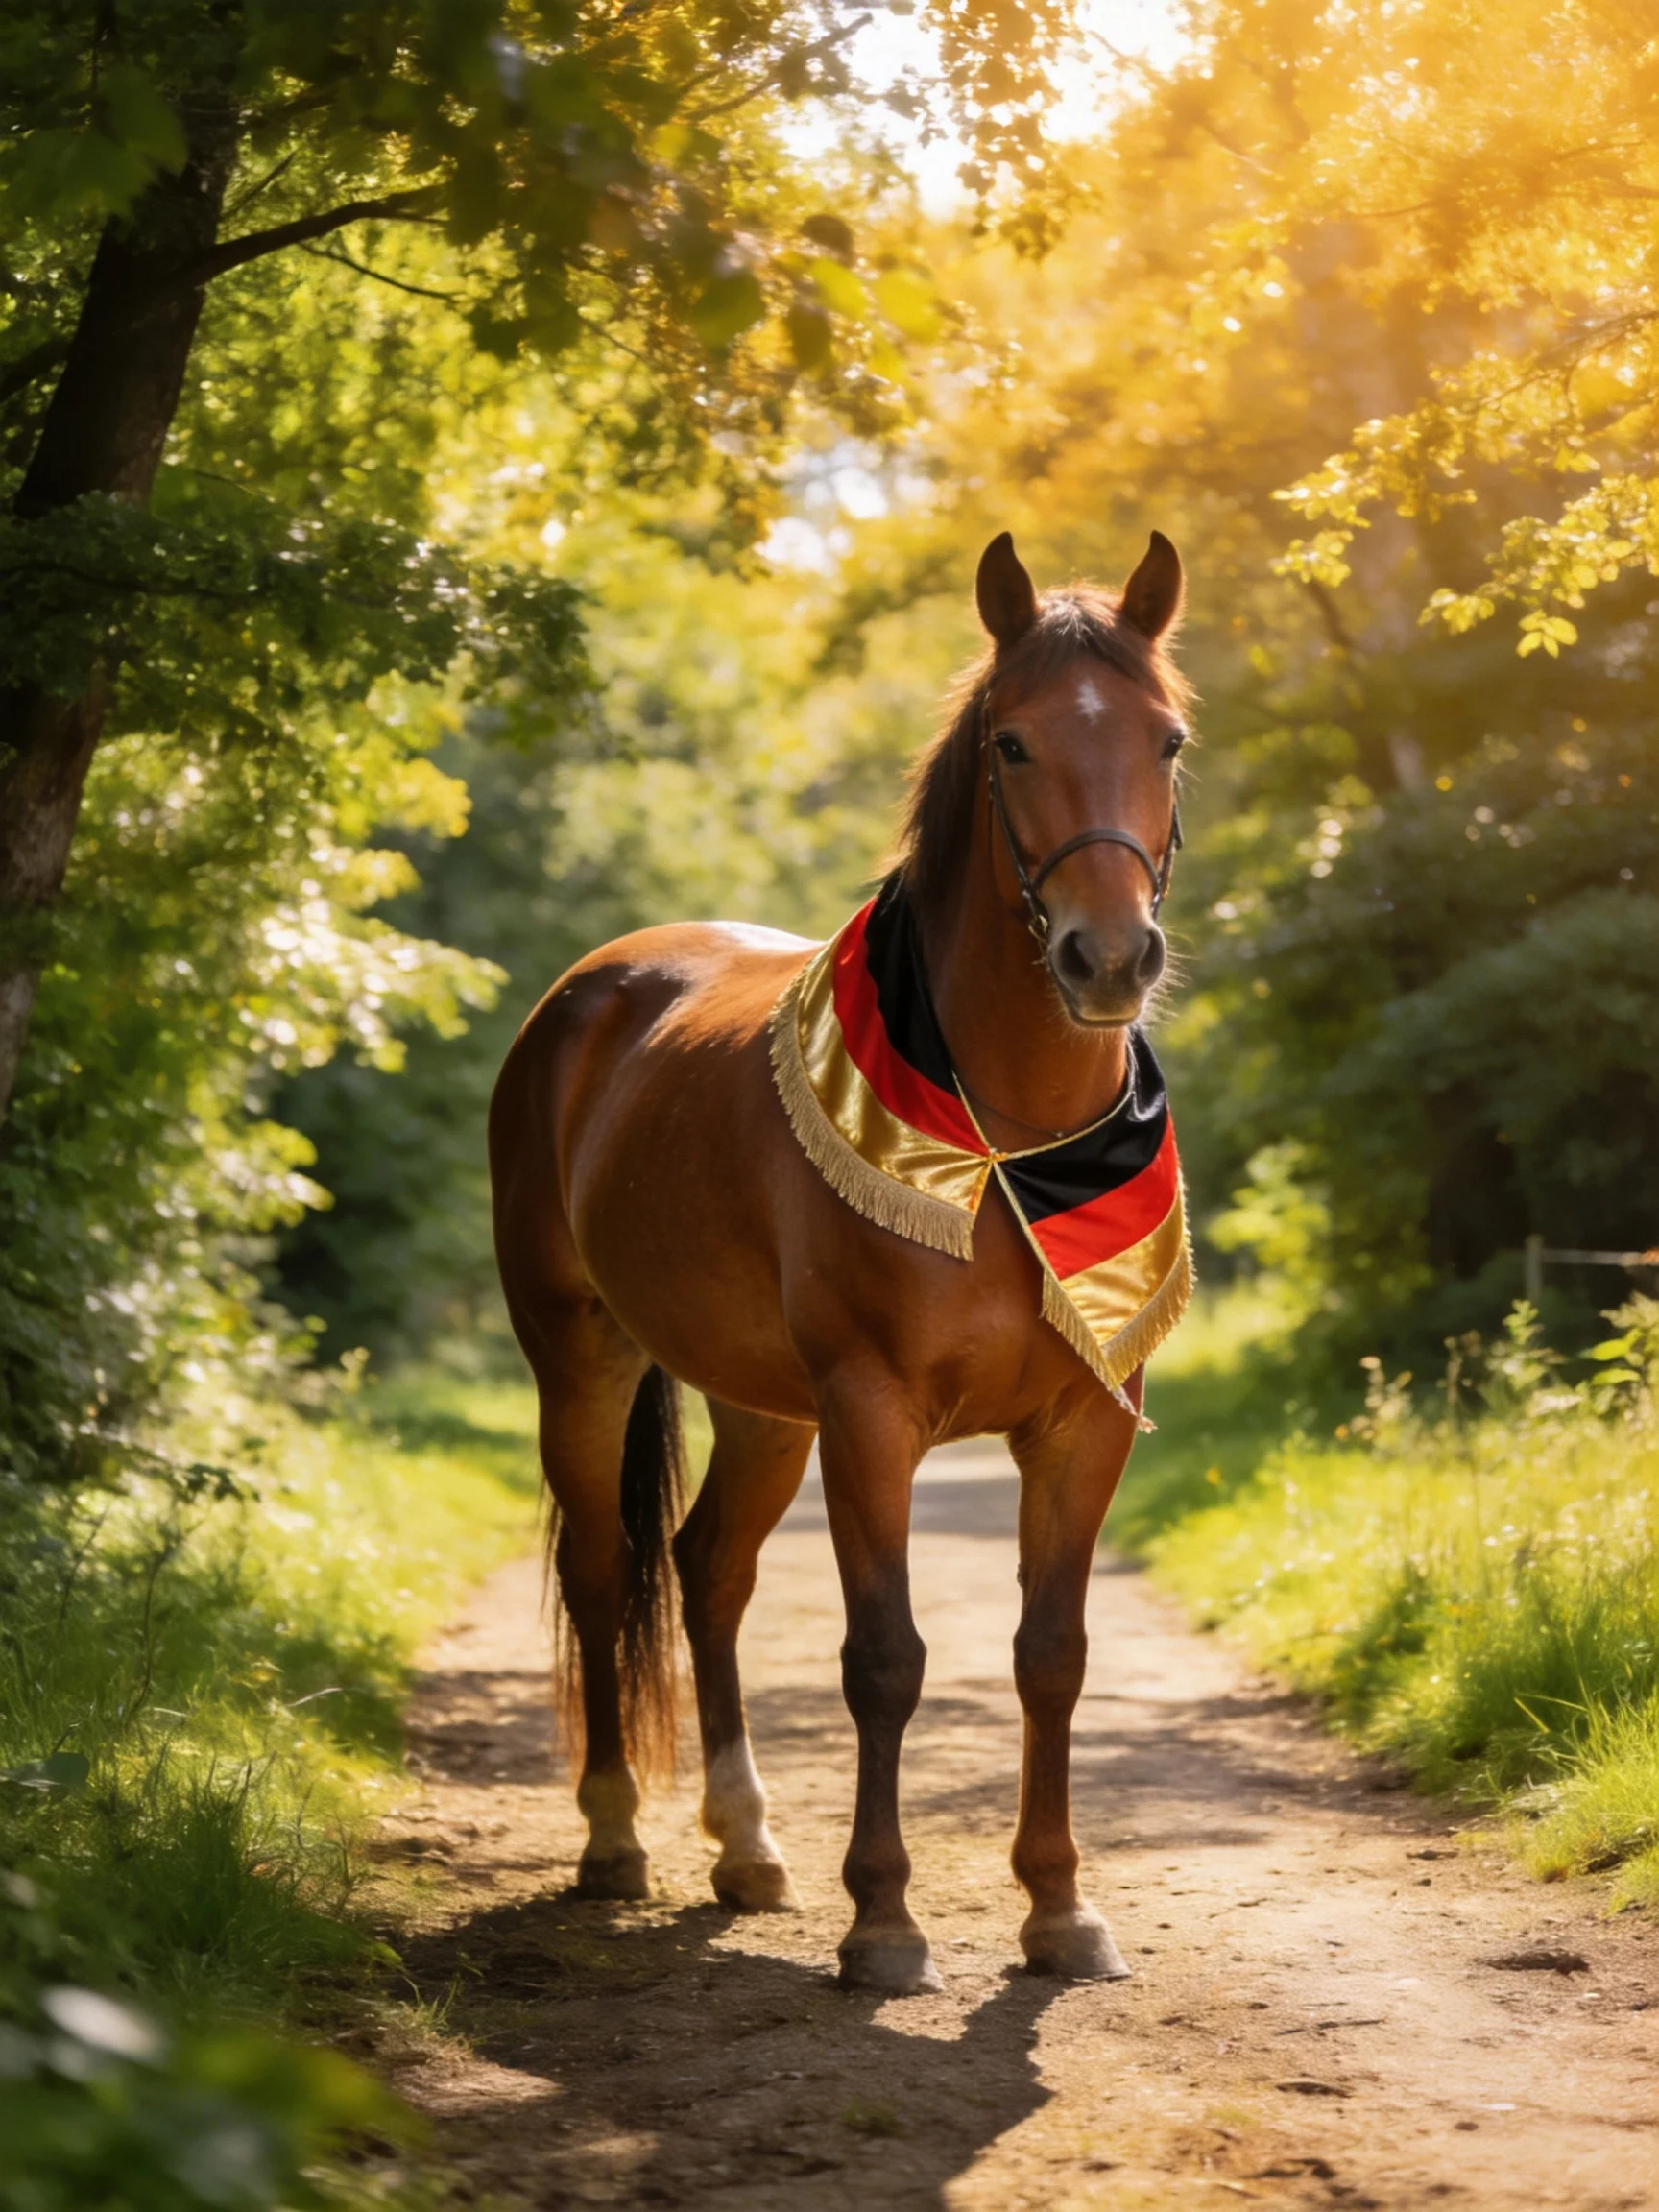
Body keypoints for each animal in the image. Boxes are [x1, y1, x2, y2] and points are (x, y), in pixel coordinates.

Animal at [489, 528, 1192, 1995]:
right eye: (1013, 745)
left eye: (1167, 740)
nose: (1108, 957)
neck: (1008, 1145)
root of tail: (591, 993)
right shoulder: (873, 1414)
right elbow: (885, 1660)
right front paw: (885, 1922)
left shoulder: (1084, 1424)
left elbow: (1052, 1655)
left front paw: (1059, 1909)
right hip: (580, 1359)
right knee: (603, 1569)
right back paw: (614, 1838)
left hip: (763, 1408)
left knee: (708, 1572)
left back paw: (747, 1848)